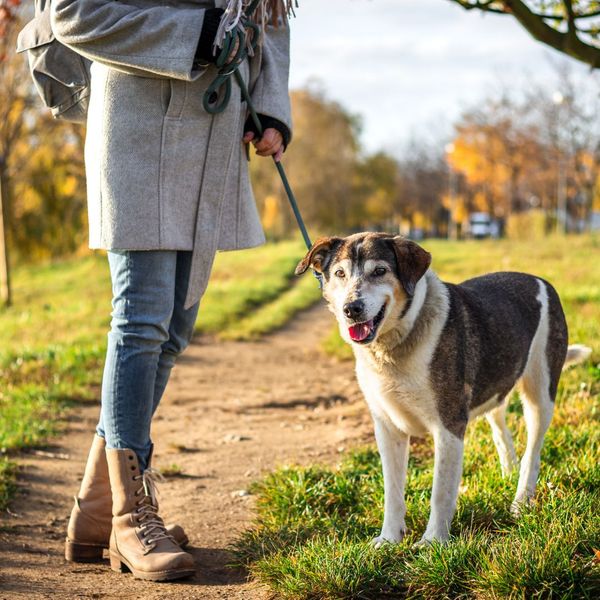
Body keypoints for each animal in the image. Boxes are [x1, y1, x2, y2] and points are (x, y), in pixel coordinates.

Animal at [296, 232, 592, 548]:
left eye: (379, 271)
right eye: (340, 273)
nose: (351, 309)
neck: (397, 343)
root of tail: (540, 280)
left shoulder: (449, 425)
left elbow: (441, 491)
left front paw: (433, 542)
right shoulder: (387, 428)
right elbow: (392, 491)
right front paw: (389, 539)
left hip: (541, 392)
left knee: (533, 451)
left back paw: (521, 500)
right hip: (496, 383)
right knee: (500, 426)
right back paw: (508, 473)